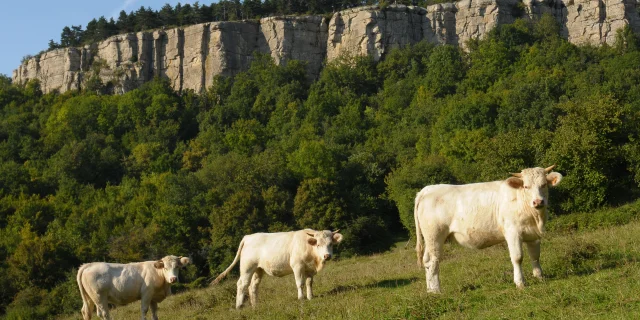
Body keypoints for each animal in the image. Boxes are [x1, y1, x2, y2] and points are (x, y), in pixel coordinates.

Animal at [211, 229, 342, 308]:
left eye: (330, 244)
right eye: (318, 244)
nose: (327, 256)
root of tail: (248, 237)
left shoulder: (310, 269)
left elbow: (309, 283)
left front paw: (310, 297)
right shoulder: (297, 266)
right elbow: (300, 283)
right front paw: (301, 298)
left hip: (258, 269)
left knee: (253, 286)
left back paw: (255, 306)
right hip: (247, 267)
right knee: (242, 284)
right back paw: (239, 306)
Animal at [416, 165, 560, 292]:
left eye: (544, 185)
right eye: (526, 186)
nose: (538, 202)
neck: (535, 217)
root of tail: (427, 189)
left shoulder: (533, 235)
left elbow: (535, 256)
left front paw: (540, 277)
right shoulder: (512, 232)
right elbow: (517, 257)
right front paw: (520, 283)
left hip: (430, 239)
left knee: (426, 261)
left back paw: (430, 290)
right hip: (435, 236)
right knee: (433, 261)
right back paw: (436, 291)